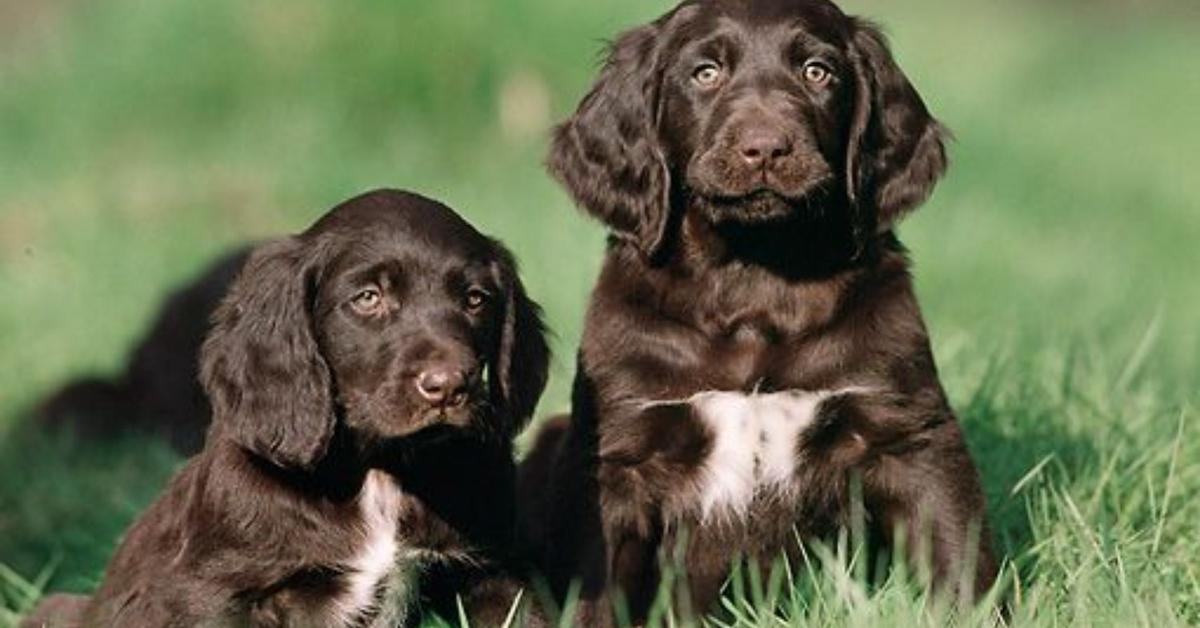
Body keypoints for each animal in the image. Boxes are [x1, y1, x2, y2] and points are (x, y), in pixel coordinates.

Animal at [24, 188, 549, 628]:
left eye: (476, 299)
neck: (382, 468)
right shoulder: (212, 592)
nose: (449, 387)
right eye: (368, 298)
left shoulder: (493, 572)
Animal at [520, 0, 998, 619]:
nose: (767, 148)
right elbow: (596, 592)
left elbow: (958, 555)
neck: (754, 279)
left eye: (818, 72)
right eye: (705, 73)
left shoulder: (911, 434)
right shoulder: (617, 458)